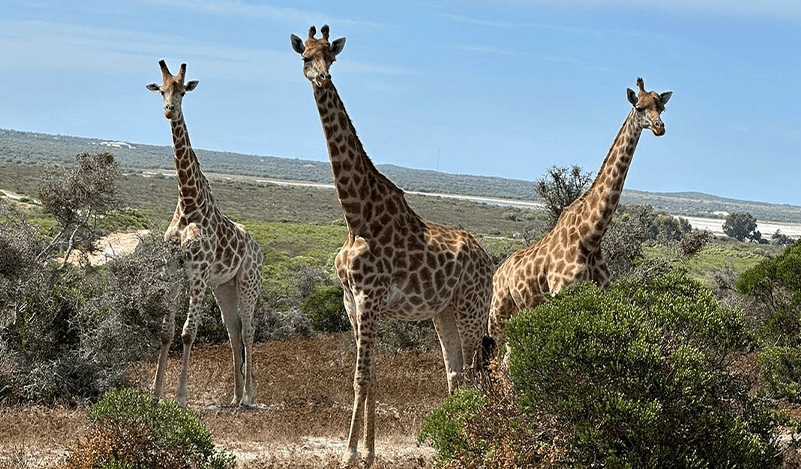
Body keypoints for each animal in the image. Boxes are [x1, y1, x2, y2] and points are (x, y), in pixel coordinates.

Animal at [146, 60, 264, 407]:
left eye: (183, 91)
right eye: (161, 90)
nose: (169, 110)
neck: (188, 202)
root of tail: (259, 249)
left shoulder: (197, 272)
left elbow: (188, 332)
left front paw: (181, 397)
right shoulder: (173, 269)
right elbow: (166, 332)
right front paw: (155, 393)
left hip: (249, 282)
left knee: (249, 331)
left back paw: (248, 396)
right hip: (223, 287)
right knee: (234, 331)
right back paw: (234, 397)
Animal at [291, 25, 494, 467]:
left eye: (331, 56)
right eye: (306, 57)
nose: (321, 78)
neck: (356, 215)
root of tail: (489, 261)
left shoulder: (370, 296)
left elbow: (360, 375)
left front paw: (349, 453)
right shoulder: (351, 300)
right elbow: (372, 374)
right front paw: (368, 452)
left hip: (473, 307)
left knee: (477, 368)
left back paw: (477, 439)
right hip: (443, 312)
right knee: (455, 370)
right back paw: (452, 440)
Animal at [489, 77, 672, 341]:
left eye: (662, 107)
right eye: (639, 107)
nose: (659, 127)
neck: (590, 238)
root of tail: (496, 273)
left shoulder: (601, 296)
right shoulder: (561, 295)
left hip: (518, 315)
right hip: (497, 316)